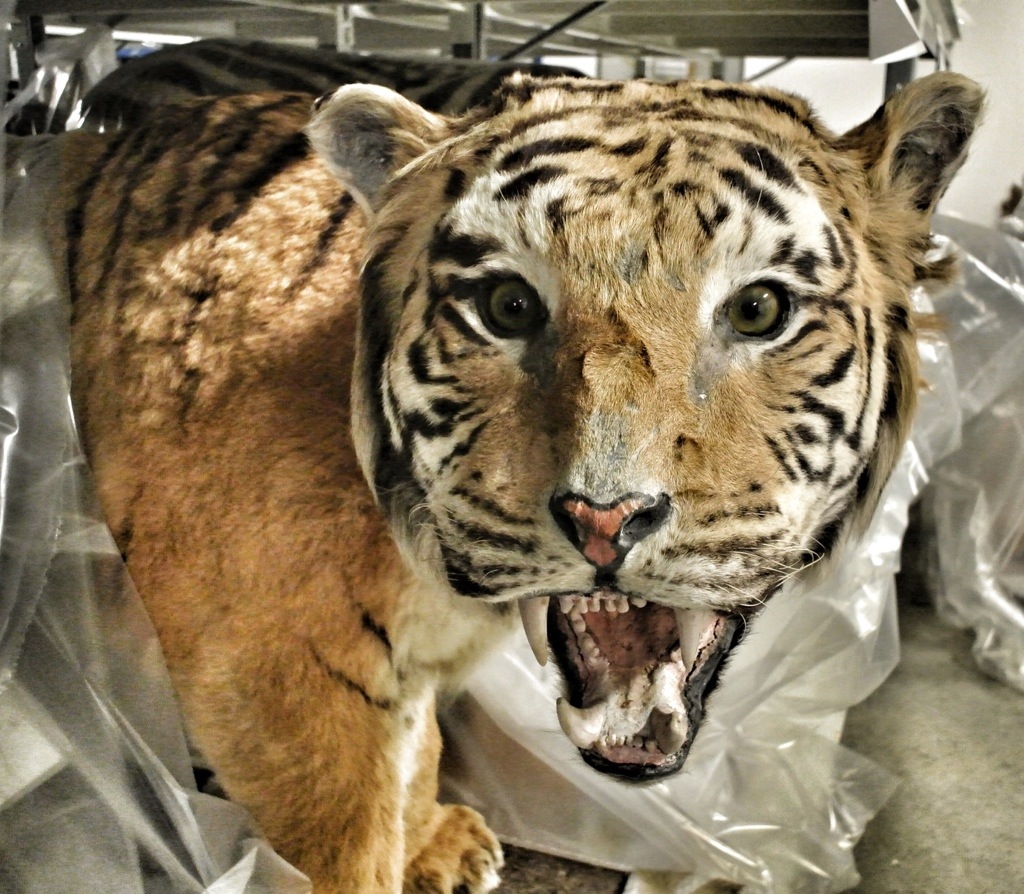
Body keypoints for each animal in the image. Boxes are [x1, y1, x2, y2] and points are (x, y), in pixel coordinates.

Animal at [44, 70, 981, 893]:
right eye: (507, 306)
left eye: (757, 311)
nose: (605, 518)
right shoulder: (274, 671)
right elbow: (348, 841)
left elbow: (417, 751)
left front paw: (434, 841)